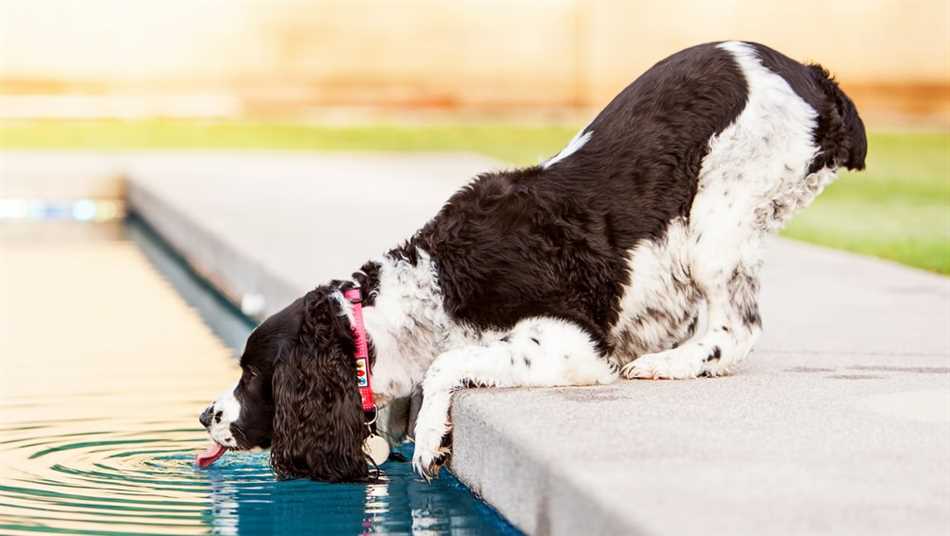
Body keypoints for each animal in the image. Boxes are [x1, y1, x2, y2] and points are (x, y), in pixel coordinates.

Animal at [201, 40, 872, 482]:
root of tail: (813, 77)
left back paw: (668, 363)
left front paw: (430, 439)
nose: (208, 413)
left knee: (736, 328)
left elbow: (447, 364)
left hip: (719, 217)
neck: (431, 286)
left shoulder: (568, 343)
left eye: (253, 375)